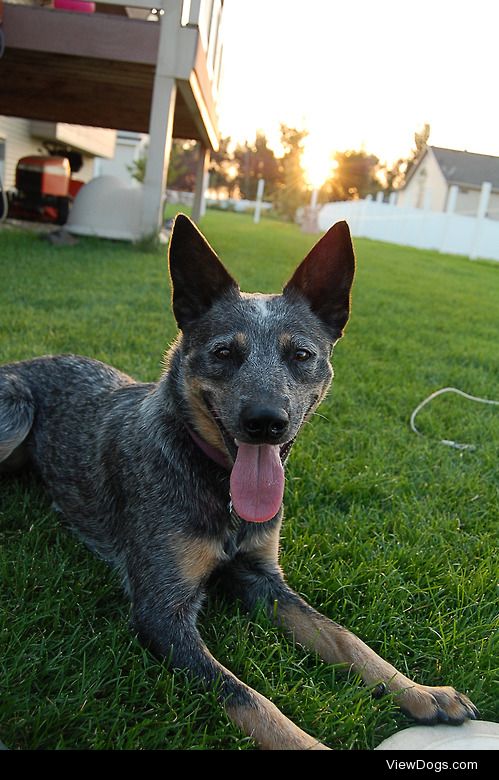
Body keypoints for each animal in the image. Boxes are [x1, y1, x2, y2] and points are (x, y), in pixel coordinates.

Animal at [0, 215, 478, 748]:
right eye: (224, 352)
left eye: (301, 354)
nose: (266, 421)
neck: (216, 485)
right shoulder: (161, 613)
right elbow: (246, 696)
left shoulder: (263, 578)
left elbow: (344, 637)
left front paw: (420, 690)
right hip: (15, 409)